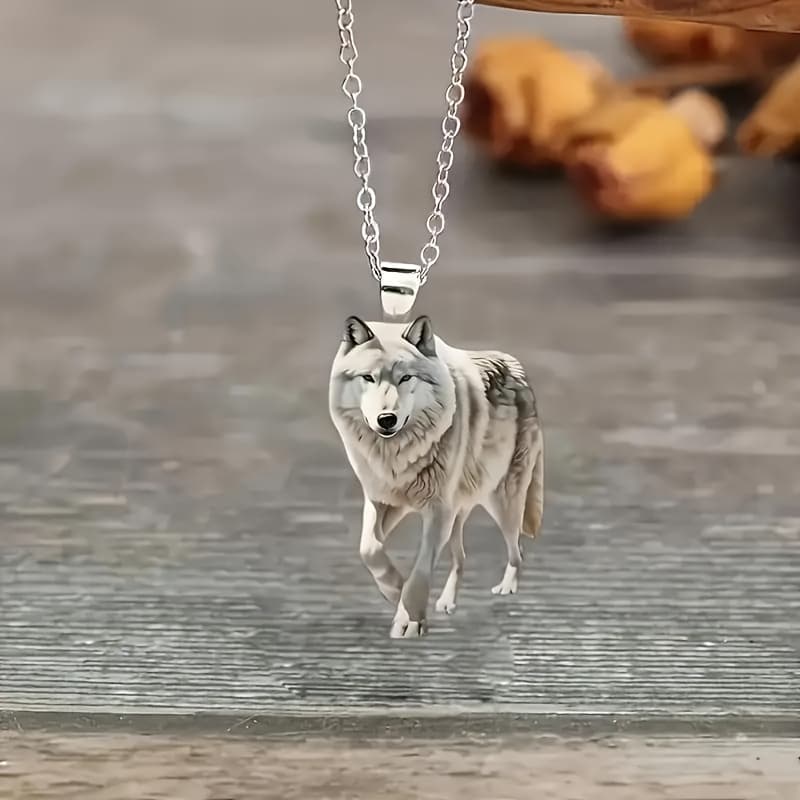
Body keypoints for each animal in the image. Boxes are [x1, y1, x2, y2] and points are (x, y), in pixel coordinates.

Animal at [329, 314, 544, 638]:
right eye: (368, 378)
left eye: (406, 378)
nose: (386, 419)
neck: (397, 455)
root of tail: (517, 368)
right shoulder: (383, 500)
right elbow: (369, 549)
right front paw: (395, 590)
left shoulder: (437, 511)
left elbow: (420, 570)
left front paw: (409, 619)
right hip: (460, 512)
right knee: (462, 558)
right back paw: (447, 602)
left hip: (502, 502)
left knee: (517, 548)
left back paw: (507, 587)